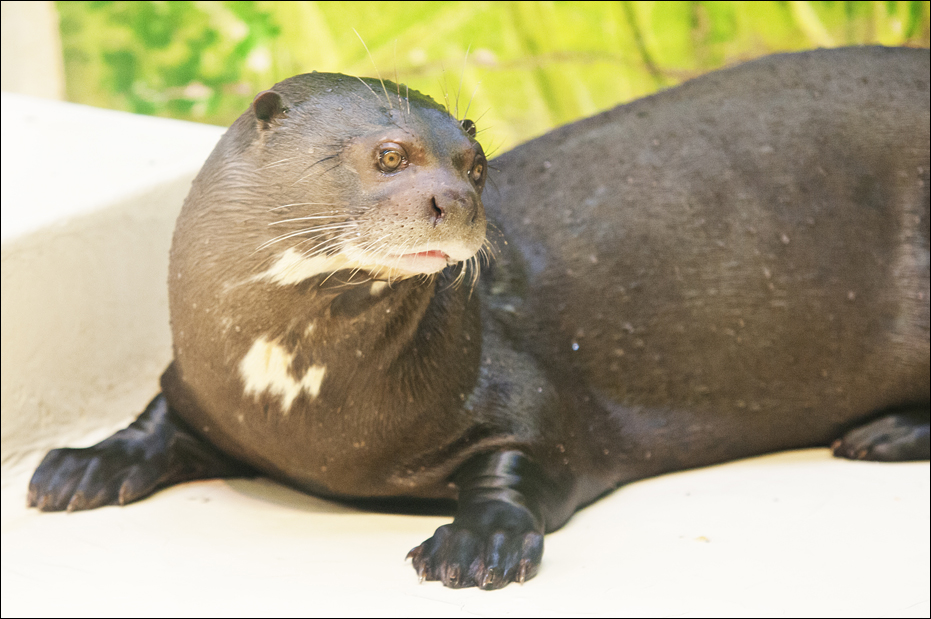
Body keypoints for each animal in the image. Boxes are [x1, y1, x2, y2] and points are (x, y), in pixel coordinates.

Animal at [28, 47, 929, 590]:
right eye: (389, 154)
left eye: (475, 163)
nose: (455, 200)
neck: (299, 406)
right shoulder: (199, 383)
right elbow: (156, 416)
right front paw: (81, 463)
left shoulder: (531, 395)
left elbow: (527, 457)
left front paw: (476, 541)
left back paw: (884, 432)